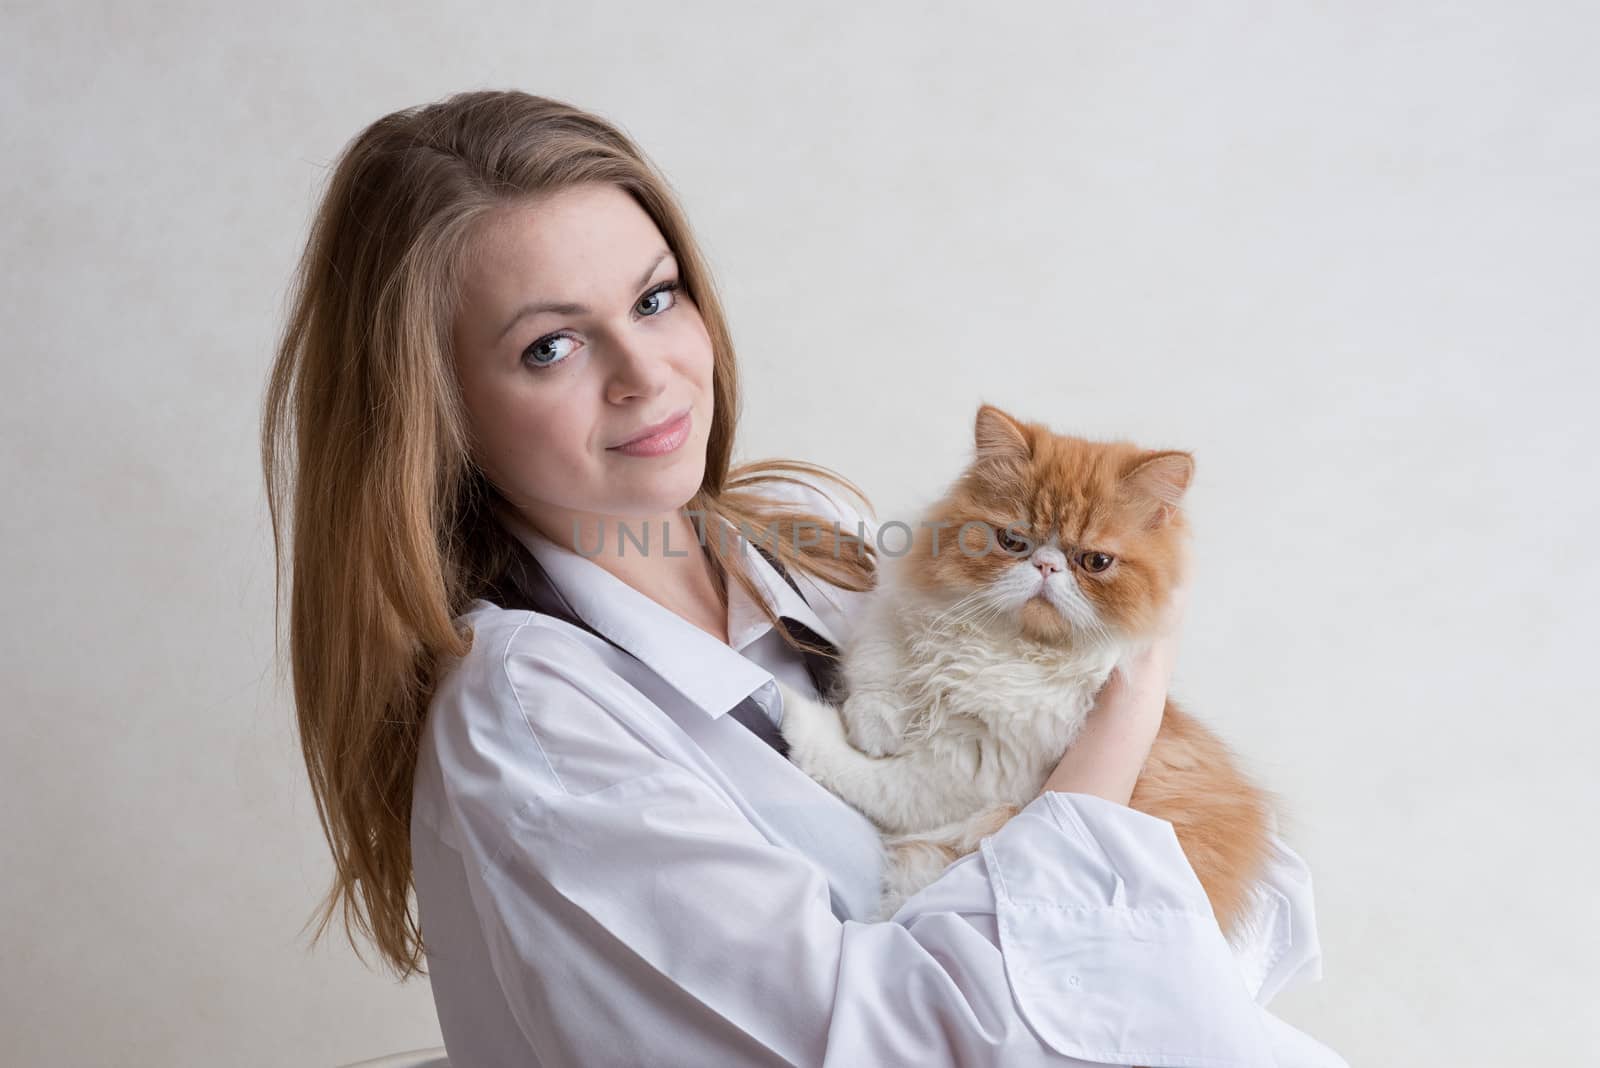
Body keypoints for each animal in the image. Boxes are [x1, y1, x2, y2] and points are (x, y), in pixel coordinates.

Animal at [774, 399, 1273, 927]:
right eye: (1013, 541)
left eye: (1095, 561)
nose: (1047, 566)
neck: (1007, 648)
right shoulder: (901, 613)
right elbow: (880, 659)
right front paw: (878, 724)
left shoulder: (973, 776)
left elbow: (868, 777)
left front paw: (791, 709)